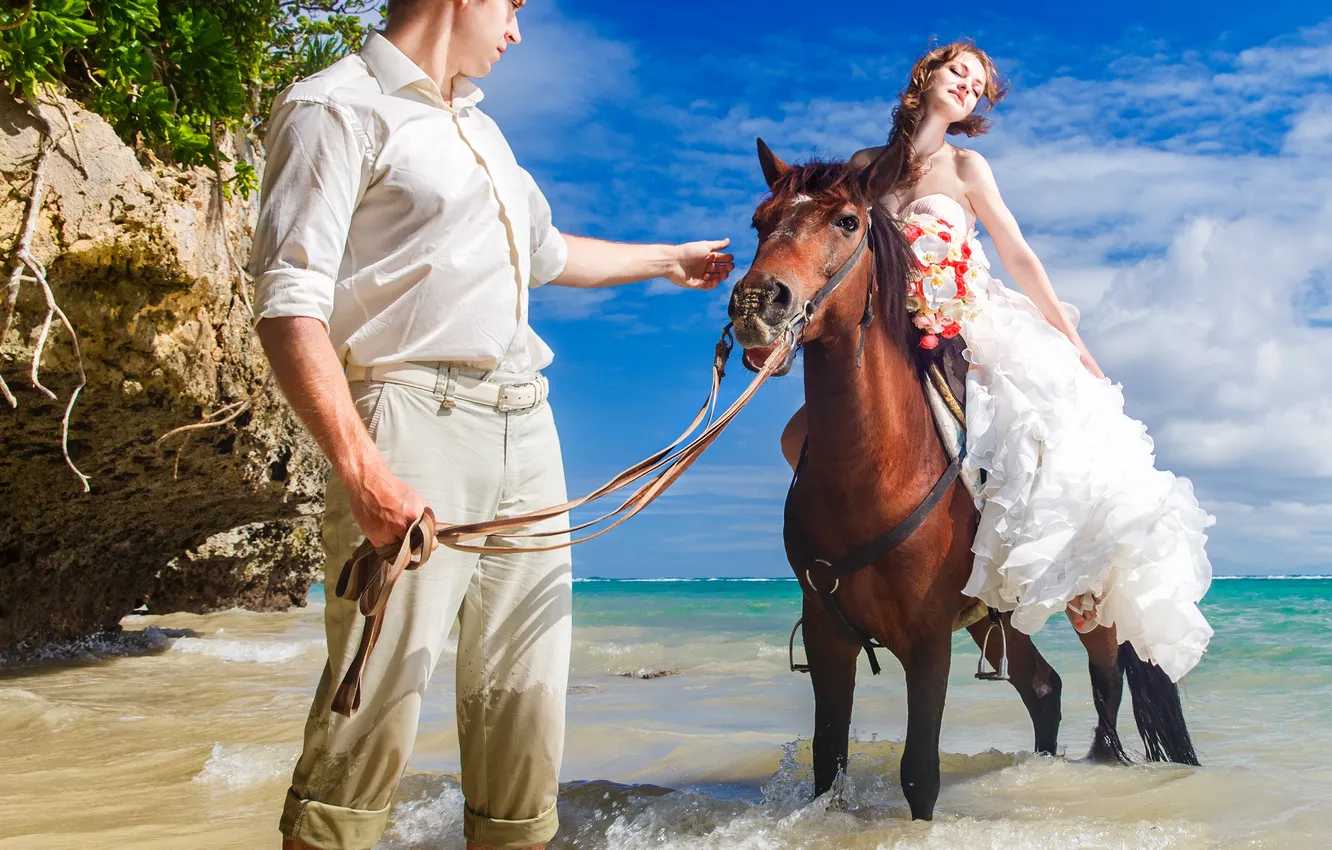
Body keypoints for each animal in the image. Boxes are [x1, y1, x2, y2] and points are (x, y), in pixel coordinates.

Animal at [725, 138, 1198, 821]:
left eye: (847, 221)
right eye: (759, 222)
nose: (757, 305)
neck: (870, 471)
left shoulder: (927, 640)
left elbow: (920, 772)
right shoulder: (826, 633)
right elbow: (827, 761)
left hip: (1089, 604)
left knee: (1105, 685)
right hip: (990, 613)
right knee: (1043, 687)